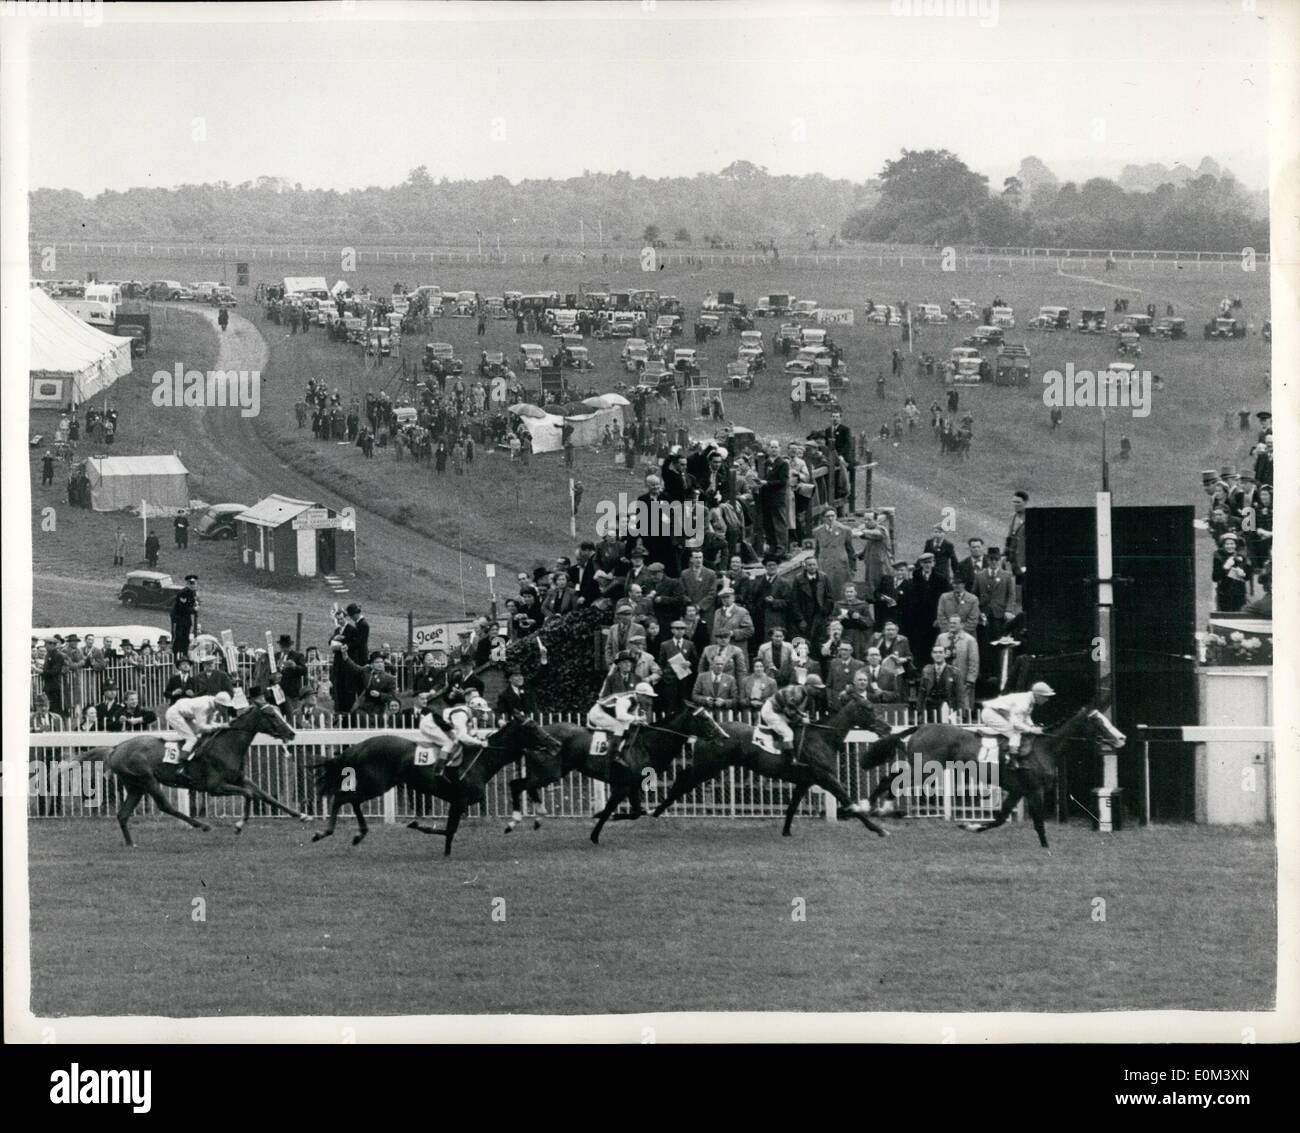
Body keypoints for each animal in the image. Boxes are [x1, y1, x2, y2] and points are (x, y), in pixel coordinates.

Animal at [77, 701, 305, 847]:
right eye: (271, 715)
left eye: (279, 712)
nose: (292, 733)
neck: (226, 746)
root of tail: (115, 748)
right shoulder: (215, 787)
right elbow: (249, 794)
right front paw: (239, 826)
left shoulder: (239, 778)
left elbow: (263, 794)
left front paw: (302, 815)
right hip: (147, 779)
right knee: (165, 806)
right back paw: (202, 825)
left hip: (134, 786)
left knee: (123, 814)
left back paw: (131, 843)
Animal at [314, 712, 564, 852]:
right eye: (531, 728)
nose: (556, 744)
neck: (481, 760)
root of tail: (359, 746)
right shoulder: (460, 801)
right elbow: (448, 830)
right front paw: (420, 827)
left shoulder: (458, 803)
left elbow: (449, 831)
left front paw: (437, 842)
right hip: (375, 783)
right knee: (342, 797)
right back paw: (324, 832)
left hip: (376, 784)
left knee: (352, 801)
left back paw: (359, 834)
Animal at [504, 701, 733, 847]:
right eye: (704, 718)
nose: (725, 736)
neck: (647, 744)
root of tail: (539, 735)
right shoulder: (623, 785)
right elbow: (609, 810)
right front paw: (595, 832)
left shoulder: (633, 786)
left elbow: (636, 812)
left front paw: (600, 824)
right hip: (549, 772)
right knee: (518, 785)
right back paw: (514, 822)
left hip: (547, 772)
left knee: (523, 785)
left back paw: (536, 818)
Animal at [650, 696, 894, 836]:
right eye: (868, 709)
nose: (888, 727)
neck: (822, 737)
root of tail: (711, 732)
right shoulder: (825, 777)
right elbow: (849, 801)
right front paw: (879, 829)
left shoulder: (805, 781)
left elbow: (792, 807)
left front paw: (786, 832)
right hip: (708, 766)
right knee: (682, 780)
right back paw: (656, 811)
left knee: (682, 778)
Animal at [857, 701, 1123, 852]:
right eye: (1098, 722)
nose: (1122, 738)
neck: (1043, 748)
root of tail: (922, 727)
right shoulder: (1033, 790)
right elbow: (1037, 822)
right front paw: (1047, 849)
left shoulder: (1017, 791)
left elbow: (1000, 819)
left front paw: (969, 826)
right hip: (924, 769)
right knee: (891, 781)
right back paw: (875, 807)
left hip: (921, 768)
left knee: (890, 778)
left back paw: (874, 807)